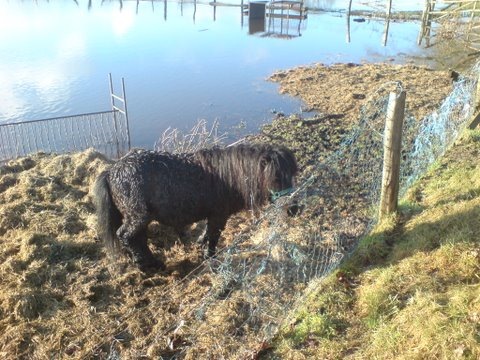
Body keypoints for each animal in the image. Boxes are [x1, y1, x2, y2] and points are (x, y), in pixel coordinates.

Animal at [91, 143, 296, 270]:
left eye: (292, 174)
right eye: (276, 177)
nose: (294, 209)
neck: (228, 176)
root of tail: (111, 171)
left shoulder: (213, 216)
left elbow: (207, 234)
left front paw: (201, 247)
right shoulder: (219, 215)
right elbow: (213, 236)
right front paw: (210, 257)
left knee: (137, 239)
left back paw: (148, 262)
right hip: (138, 216)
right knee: (126, 236)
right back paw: (146, 266)